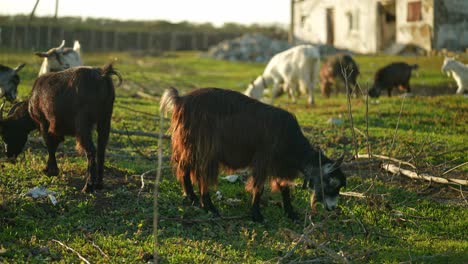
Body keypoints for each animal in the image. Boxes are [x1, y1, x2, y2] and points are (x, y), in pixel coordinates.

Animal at [0, 64, 120, 192]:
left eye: (6, 134)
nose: (8, 154)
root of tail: (103, 75)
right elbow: (55, 144)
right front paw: (49, 169)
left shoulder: (44, 122)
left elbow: (50, 145)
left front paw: (51, 171)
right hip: (105, 119)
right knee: (101, 149)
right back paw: (99, 184)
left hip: (83, 124)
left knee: (91, 150)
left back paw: (88, 186)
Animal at [161, 87, 348, 222]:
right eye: (332, 183)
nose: (333, 208)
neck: (288, 138)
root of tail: (181, 100)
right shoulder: (263, 159)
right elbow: (259, 187)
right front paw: (257, 215)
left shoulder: (278, 164)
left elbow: (284, 187)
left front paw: (291, 213)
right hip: (203, 148)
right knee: (201, 176)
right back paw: (210, 207)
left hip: (188, 146)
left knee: (185, 170)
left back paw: (192, 198)